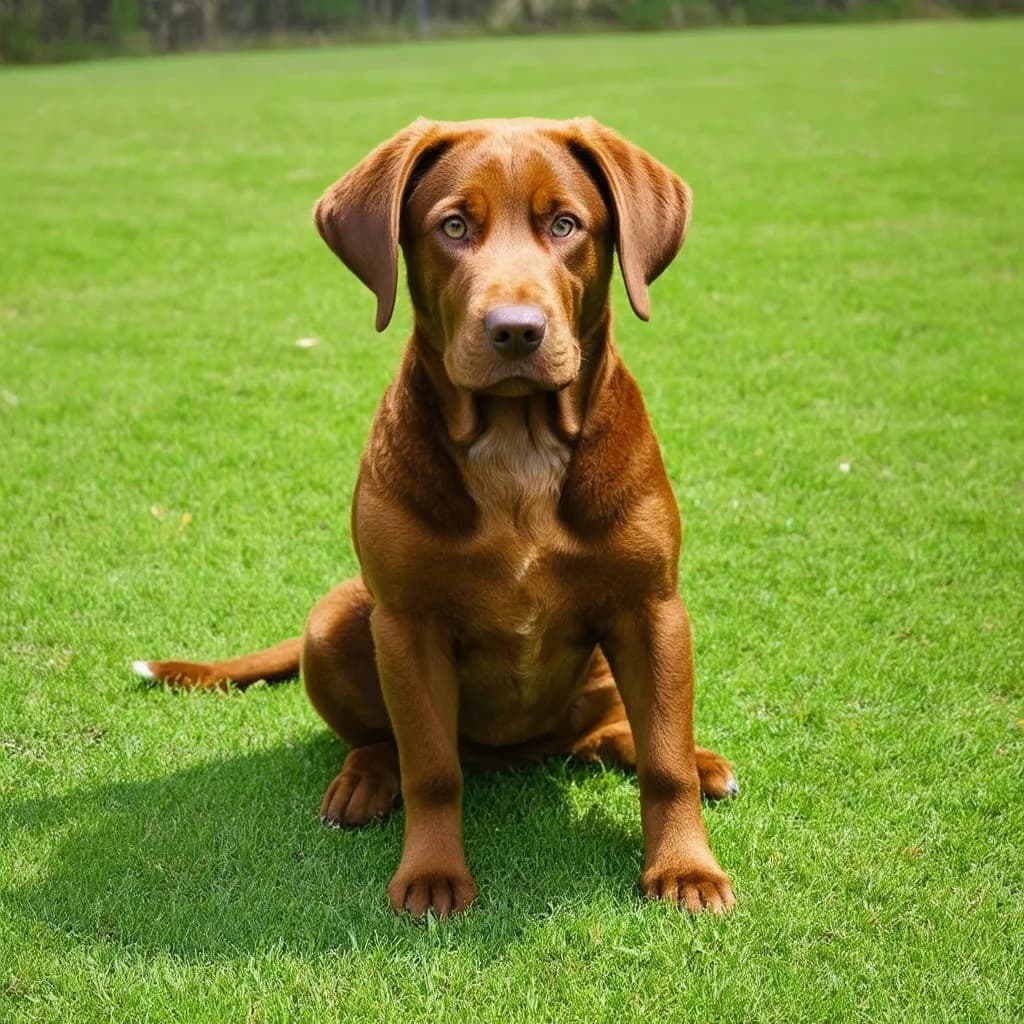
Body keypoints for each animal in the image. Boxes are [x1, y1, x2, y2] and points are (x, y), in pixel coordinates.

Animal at [136, 116, 741, 917]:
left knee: (619, 734)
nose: (515, 330)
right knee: (386, 741)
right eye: (453, 226)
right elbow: (430, 768)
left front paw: (684, 868)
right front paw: (431, 874)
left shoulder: (653, 608)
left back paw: (687, 757)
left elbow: (663, 761)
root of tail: (520, 753)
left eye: (565, 224)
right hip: (338, 619)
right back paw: (364, 779)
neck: (516, 445)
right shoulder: (408, 623)